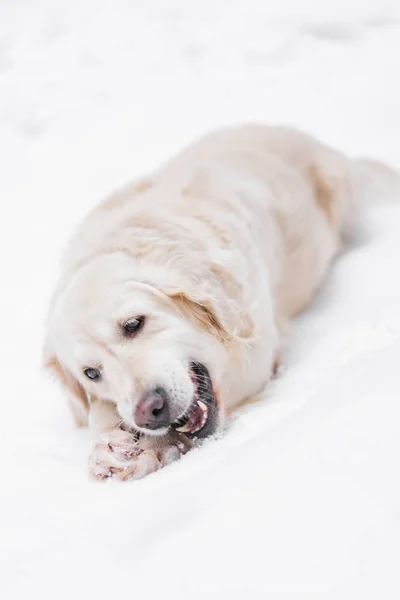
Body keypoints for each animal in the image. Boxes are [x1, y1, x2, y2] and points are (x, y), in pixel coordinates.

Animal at [43, 124, 396, 480]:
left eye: (133, 324)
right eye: (91, 373)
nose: (149, 412)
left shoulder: (255, 357)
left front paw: (155, 447)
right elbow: (97, 411)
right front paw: (106, 444)